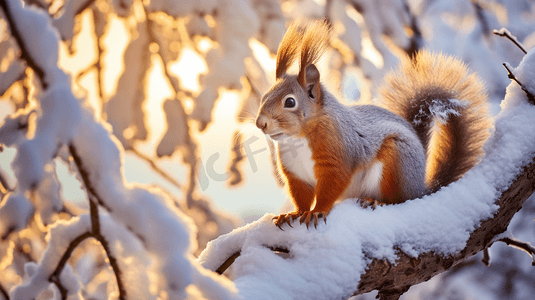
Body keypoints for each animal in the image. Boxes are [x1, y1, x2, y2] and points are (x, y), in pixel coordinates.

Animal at [255, 19, 490, 229]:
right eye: (264, 96)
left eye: (290, 102)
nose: (260, 123)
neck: (297, 139)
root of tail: (420, 188)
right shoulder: (295, 174)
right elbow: (301, 196)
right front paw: (294, 213)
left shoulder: (338, 156)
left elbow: (331, 186)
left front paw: (317, 211)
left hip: (396, 164)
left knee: (398, 201)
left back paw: (375, 201)